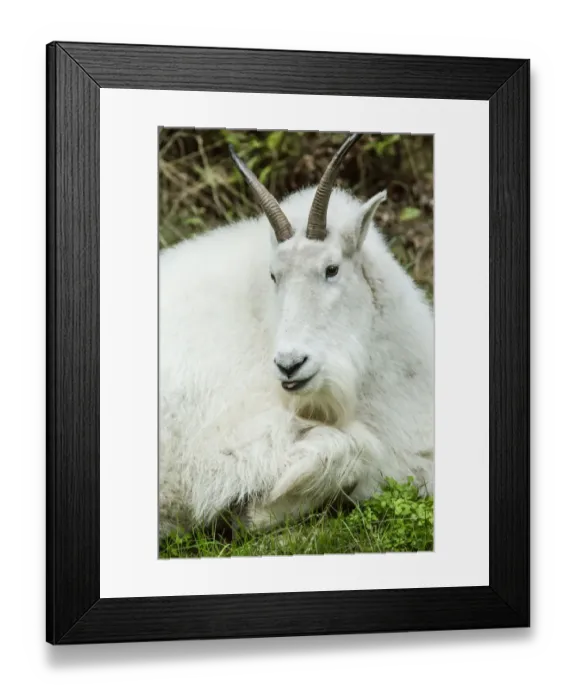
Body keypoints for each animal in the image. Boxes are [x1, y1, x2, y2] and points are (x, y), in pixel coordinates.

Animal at [159, 133, 434, 535]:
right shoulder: (221, 449)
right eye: (274, 276)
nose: (290, 364)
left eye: (332, 269)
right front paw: (252, 510)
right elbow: (355, 451)